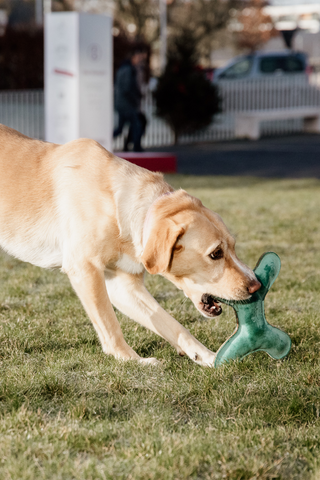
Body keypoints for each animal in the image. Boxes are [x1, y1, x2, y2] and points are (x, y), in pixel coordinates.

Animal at [0, 125, 260, 366]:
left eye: (233, 247)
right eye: (215, 253)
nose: (256, 286)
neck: (117, 203)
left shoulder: (122, 285)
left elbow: (173, 324)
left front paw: (205, 356)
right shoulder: (85, 270)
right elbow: (110, 324)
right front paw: (132, 360)